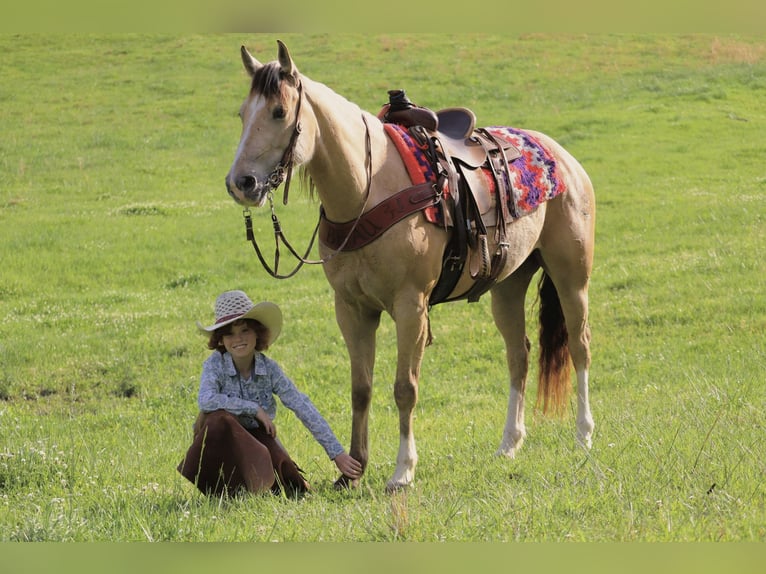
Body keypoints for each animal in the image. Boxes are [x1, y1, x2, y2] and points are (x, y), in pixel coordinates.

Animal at [225, 40, 596, 492]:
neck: (367, 189)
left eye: (279, 112)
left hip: (571, 277)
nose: (240, 183)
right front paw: (353, 469)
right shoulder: (351, 309)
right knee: (518, 355)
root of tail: (563, 156)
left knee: (579, 346)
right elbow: (360, 388)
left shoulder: (410, 306)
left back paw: (583, 435)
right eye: (242, 113)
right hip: (508, 284)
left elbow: (405, 388)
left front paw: (403, 471)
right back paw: (509, 443)